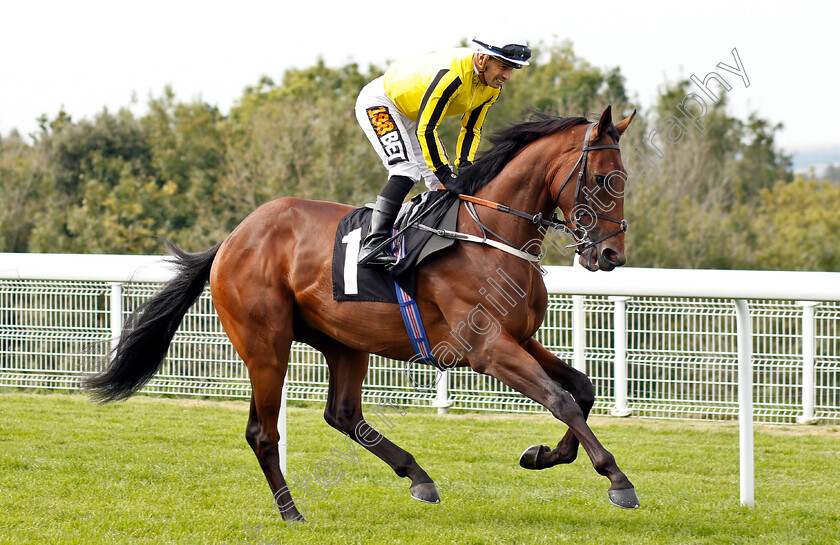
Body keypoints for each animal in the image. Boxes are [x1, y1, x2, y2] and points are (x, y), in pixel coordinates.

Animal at [83, 104, 636, 520]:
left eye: (624, 178)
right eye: (604, 179)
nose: (611, 256)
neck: (488, 235)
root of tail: (233, 238)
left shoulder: (518, 338)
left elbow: (582, 388)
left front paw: (544, 456)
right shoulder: (486, 348)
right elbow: (560, 399)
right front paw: (617, 479)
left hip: (343, 341)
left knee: (343, 414)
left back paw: (418, 477)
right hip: (266, 345)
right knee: (264, 432)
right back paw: (292, 512)